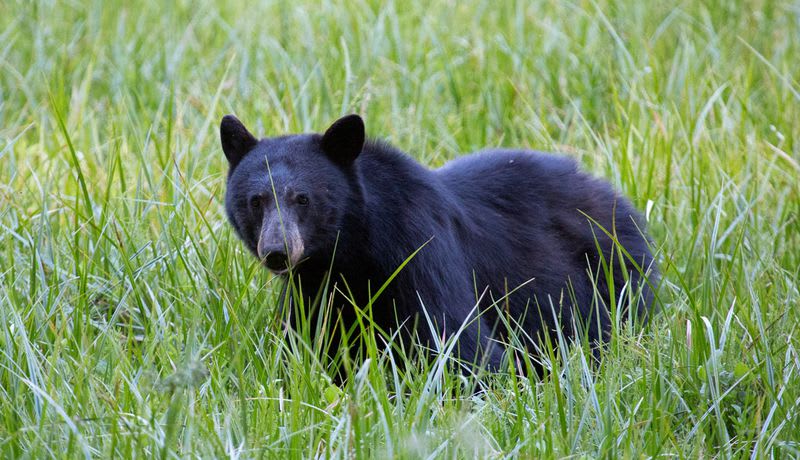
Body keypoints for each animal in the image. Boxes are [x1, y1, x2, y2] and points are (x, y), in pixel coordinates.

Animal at [220, 113, 658, 374]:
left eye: (303, 198)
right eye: (256, 200)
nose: (278, 251)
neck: (350, 254)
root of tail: (615, 194)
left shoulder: (419, 250)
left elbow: (461, 343)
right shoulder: (316, 291)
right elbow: (310, 348)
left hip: (616, 277)